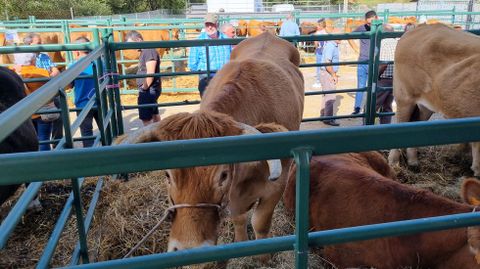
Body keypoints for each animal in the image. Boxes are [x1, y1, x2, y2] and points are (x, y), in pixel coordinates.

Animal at [115, 30, 304, 255]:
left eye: (223, 175)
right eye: (167, 175)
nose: (189, 248)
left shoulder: (275, 187)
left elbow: (260, 224)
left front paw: (263, 257)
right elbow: (239, 219)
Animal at [388, 23, 480, 176]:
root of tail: (423, 26)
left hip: (426, 105)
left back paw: (413, 161)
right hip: (404, 96)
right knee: (401, 123)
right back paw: (394, 163)